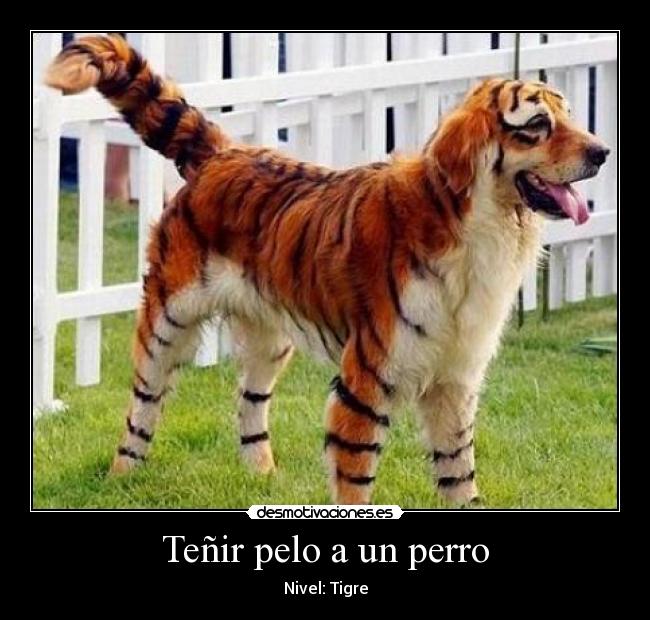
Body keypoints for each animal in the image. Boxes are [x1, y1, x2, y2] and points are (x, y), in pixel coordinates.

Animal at [45, 34, 610, 506]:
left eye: (570, 117)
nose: (603, 151)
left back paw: (262, 478)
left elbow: (459, 477)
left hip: (270, 338)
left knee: (249, 403)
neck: (482, 229)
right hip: (168, 321)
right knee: (142, 405)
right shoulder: (367, 380)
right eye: (537, 126)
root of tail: (224, 152)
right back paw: (122, 477)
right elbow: (356, 479)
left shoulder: (457, 378)